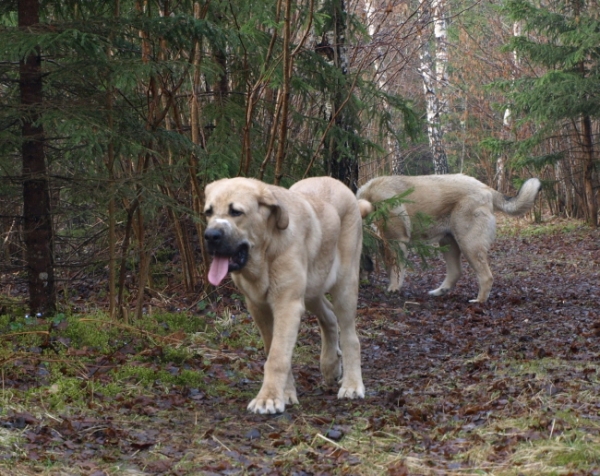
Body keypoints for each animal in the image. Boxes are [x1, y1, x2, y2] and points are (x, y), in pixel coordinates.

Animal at [204, 176, 370, 412]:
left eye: (236, 212)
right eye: (208, 212)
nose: (211, 236)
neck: (266, 251)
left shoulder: (287, 304)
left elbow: (277, 356)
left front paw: (268, 398)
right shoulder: (258, 307)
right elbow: (274, 349)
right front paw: (285, 394)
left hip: (345, 286)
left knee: (350, 337)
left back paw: (352, 385)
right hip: (312, 288)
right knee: (328, 316)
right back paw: (330, 365)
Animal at [356, 174, 544, 302]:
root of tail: (486, 189)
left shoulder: (396, 242)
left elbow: (394, 269)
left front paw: (393, 288)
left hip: (469, 244)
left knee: (486, 276)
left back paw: (479, 300)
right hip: (448, 243)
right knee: (456, 272)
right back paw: (440, 291)